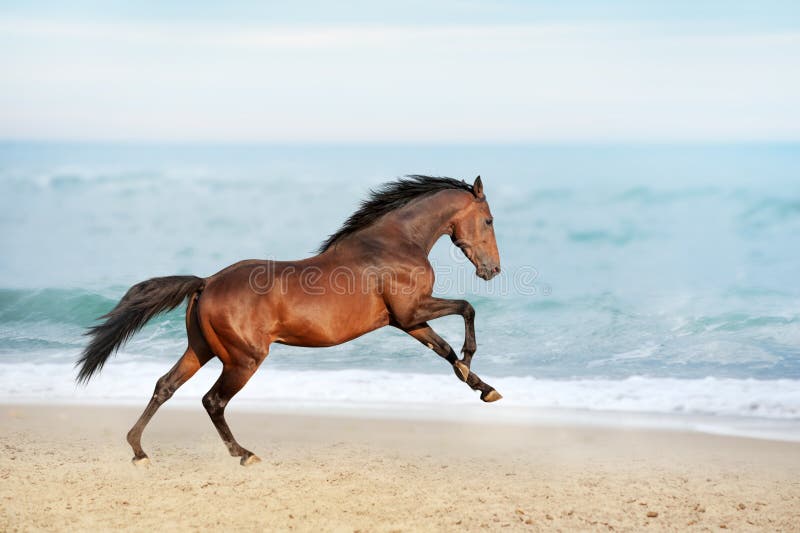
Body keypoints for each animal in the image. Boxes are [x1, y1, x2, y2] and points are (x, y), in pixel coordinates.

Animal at [75, 172, 500, 464]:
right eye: (490, 220)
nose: (493, 269)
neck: (392, 244)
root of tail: (207, 282)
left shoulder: (407, 321)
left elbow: (444, 349)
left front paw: (482, 387)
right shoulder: (412, 310)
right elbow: (466, 308)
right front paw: (471, 363)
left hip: (201, 349)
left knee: (165, 386)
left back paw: (138, 450)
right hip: (243, 359)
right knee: (213, 401)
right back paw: (244, 454)